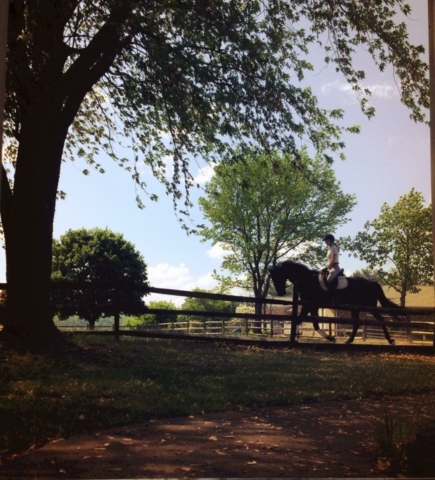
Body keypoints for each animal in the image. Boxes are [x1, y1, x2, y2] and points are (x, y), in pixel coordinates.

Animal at [270, 260, 402, 344]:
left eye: (276, 276)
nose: (280, 292)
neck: (306, 280)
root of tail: (370, 283)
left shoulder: (311, 305)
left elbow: (310, 323)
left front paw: (330, 338)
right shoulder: (310, 306)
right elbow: (305, 322)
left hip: (368, 306)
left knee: (380, 319)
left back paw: (390, 340)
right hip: (355, 307)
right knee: (357, 323)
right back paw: (349, 340)